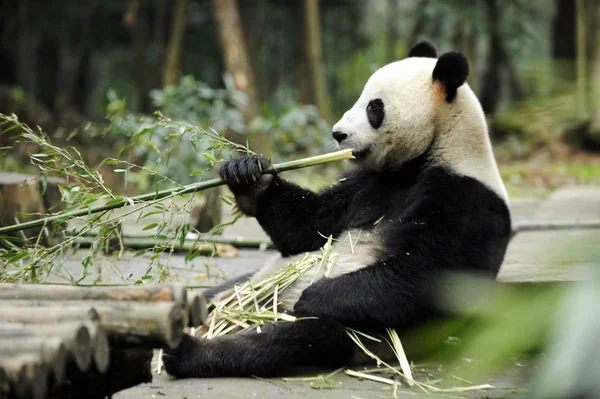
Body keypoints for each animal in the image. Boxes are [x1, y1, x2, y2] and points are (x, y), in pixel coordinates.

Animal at [163, 42, 510, 380]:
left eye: (374, 107)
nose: (338, 133)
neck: (430, 153)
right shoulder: (366, 186)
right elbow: (309, 228)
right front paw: (248, 175)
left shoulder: (466, 200)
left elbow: (431, 276)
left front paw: (314, 294)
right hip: (245, 283)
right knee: (217, 294)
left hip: (356, 335)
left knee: (291, 339)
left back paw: (189, 352)